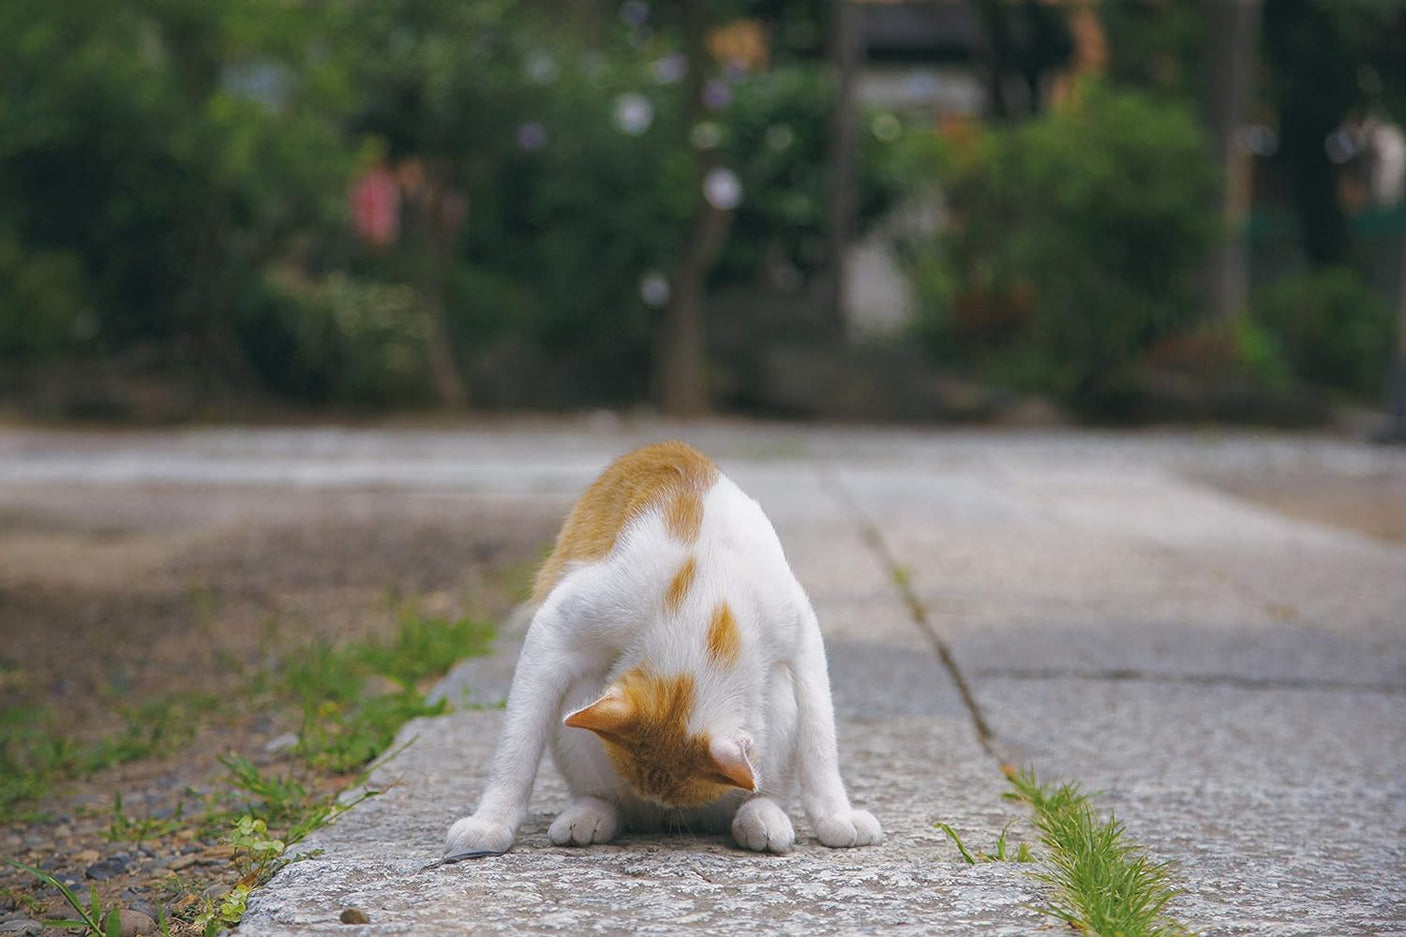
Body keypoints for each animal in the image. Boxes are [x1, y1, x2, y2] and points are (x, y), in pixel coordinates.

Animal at [444, 441, 877, 849]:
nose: (663, 806)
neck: (705, 607)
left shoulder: (800, 633)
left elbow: (820, 738)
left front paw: (836, 816)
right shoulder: (557, 626)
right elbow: (516, 744)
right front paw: (491, 822)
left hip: (778, 698)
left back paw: (760, 815)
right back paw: (593, 812)